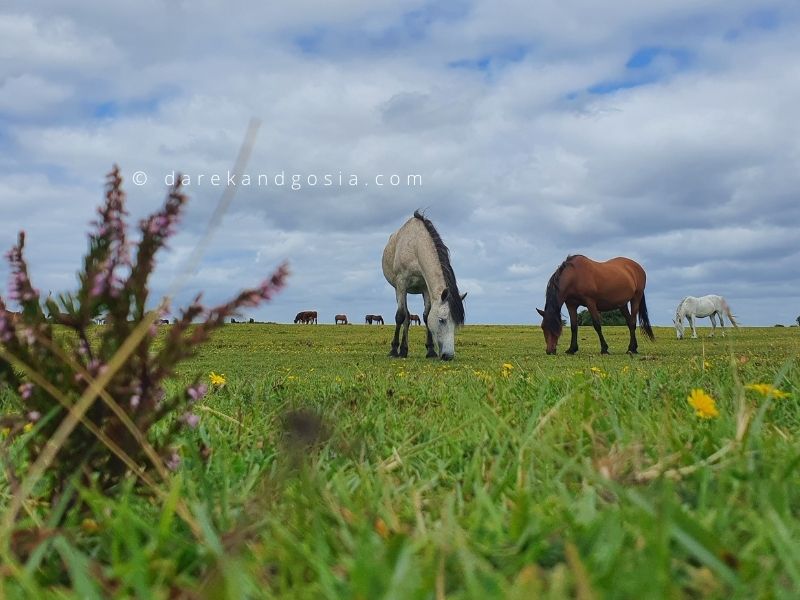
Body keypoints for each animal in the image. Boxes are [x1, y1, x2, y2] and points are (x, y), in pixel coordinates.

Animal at [382, 211, 466, 360]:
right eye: (442, 320)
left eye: (456, 323)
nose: (448, 356)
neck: (415, 247)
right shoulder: (401, 283)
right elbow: (400, 316)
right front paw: (393, 350)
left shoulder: (425, 288)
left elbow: (426, 315)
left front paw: (431, 351)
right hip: (398, 290)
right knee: (405, 317)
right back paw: (401, 350)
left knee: (408, 317)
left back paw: (404, 349)